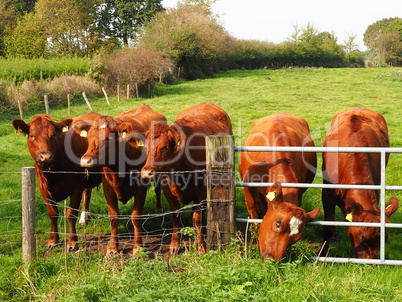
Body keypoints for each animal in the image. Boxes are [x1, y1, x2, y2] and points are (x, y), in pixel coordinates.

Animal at [12, 113, 102, 250]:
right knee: (87, 193)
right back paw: (84, 219)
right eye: (32, 135)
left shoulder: (76, 187)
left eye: (53, 135)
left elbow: (70, 214)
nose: (45, 157)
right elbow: (53, 214)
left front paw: (72, 242)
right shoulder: (43, 189)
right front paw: (53, 240)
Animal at [75, 104, 166, 255]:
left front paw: (137, 247)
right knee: (86, 192)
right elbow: (114, 218)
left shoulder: (141, 189)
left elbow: (136, 217)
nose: (86, 161)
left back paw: (159, 209)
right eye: (88, 137)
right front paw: (112, 248)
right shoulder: (108, 189)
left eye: (108, 139)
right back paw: (83, 218)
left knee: (158, 189)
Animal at [141, 102, 232, 254]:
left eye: (165, 147)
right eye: (146, 148)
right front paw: (174, 244)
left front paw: (201, 246)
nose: (147, 172)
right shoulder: (167, 189)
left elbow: (197, 219)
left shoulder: (201, 190)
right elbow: (176, 216)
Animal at [320, 107, 398, 258]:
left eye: (384, 241)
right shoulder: (327, 194)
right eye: (363, 238)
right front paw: (322, 254)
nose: (372, 262)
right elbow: (328, 229)